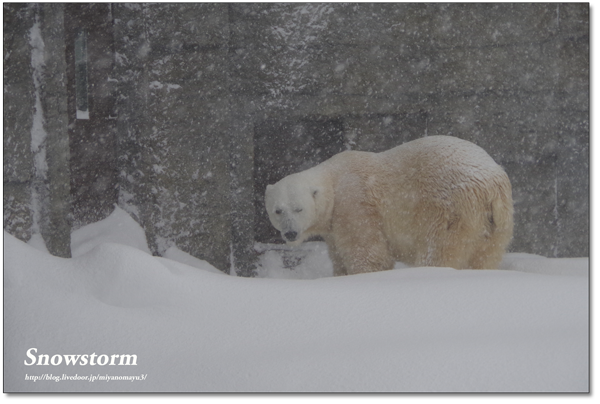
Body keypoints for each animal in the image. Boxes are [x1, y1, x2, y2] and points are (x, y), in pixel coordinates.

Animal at [264, 135, 512, 274]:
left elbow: (369, 254)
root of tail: (492, 186)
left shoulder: (354, 203)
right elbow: (339, 257)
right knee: (485, 256)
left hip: (450, 209)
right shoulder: (333, 228)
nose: (290, 233)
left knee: (438, 250)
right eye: (278, 210)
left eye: (299, 208)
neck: (333, 178)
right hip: (496, 224)